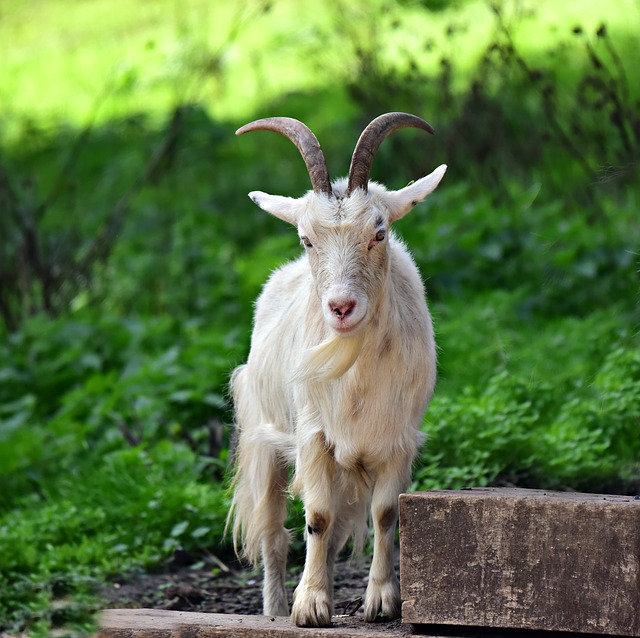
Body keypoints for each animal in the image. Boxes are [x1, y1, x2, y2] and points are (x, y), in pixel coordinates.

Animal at [229, 112, 444, 628]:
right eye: (307, 238)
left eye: (380, 232)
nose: (341, 308)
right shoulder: (312, 435)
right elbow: (318, 517)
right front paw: (309, 607)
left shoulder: (400, 438)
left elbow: (385, 513)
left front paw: (382, 601)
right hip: (265, 436)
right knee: (275, 533)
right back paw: (275, 609)